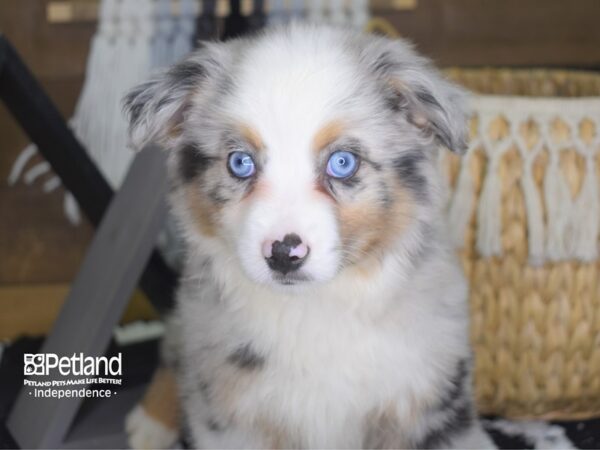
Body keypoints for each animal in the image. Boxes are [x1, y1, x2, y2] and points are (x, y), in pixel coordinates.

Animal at [124, 24, 494, 450]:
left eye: (342, 162)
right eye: (240, 162)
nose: (284, 253)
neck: (313, 308)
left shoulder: (431, 402)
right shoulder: (234, 414)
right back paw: (149, 424)